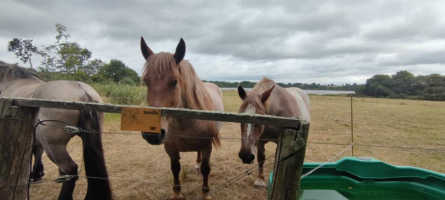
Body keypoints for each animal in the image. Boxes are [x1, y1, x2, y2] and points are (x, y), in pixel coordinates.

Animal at [139, 38, 222, 200]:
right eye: (146, 81)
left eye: (174, 81)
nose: (152, 134)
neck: (185, 123)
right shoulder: (170, 148)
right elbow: (175, 169)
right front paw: (176, 193)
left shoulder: (207, 146)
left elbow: (206, 169)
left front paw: (205, 193)